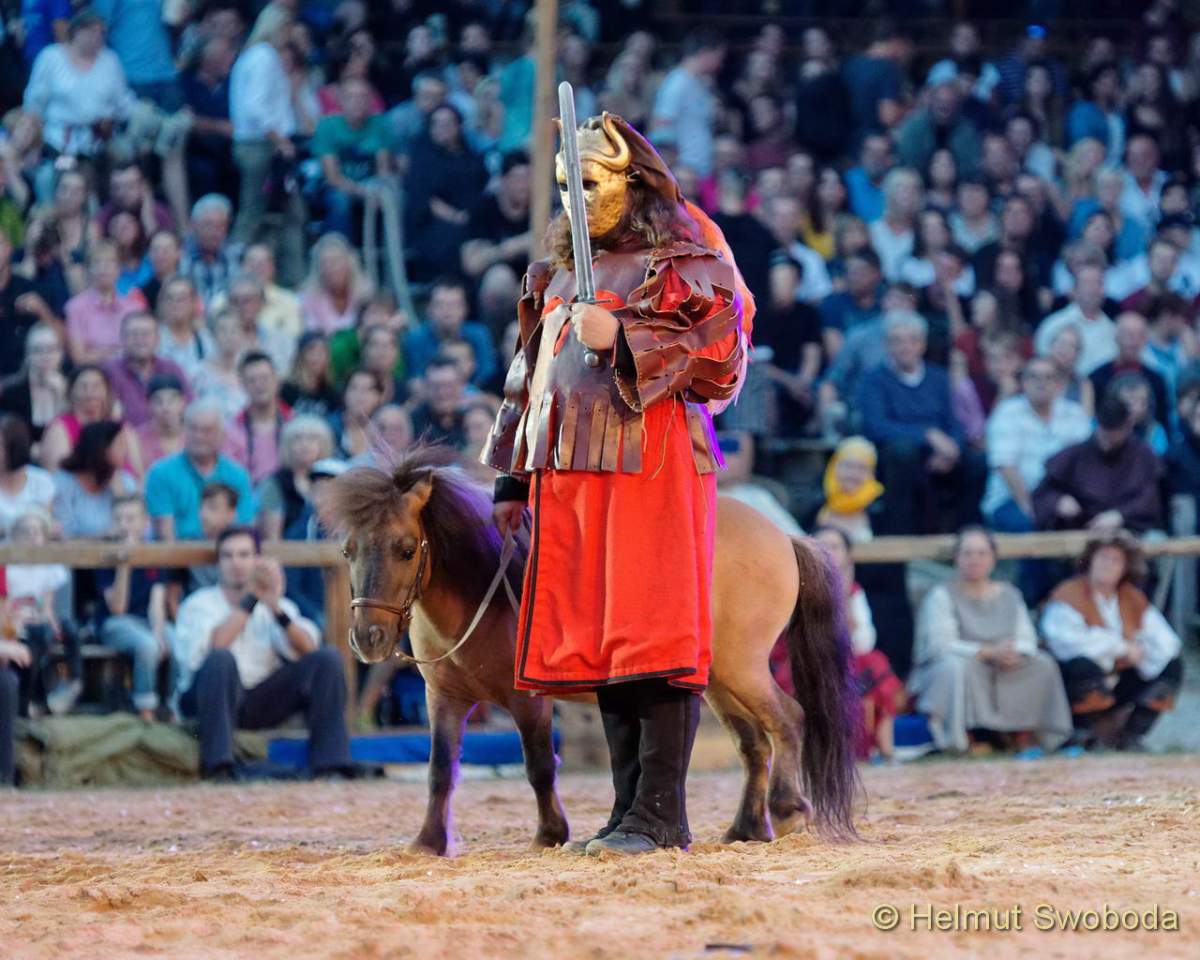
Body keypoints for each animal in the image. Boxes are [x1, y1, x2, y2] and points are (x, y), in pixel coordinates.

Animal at [320, 447, 859, 855]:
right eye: (348, 550)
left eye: (406, 548)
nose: (368, 638)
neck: (486, 590)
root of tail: (784, 537)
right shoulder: (444, 699)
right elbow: (439, 771)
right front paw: (429, 841)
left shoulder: (527, 700)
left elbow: (539, 766)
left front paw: (550, 835)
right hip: (718, 681)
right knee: (754, 744)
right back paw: (745, 829)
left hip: (744, 668)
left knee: (788, 719)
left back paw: (787, 811)